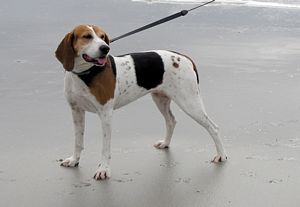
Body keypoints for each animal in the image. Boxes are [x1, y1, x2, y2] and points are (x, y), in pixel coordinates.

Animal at [55, 23, 226, 180]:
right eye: (87, 36)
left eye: (103, 37)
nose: (105, 48)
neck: (85, 74)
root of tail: (184, 58)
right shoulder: (76, 111)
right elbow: (78, 141)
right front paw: (74, 160)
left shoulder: (106, 115)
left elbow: (105, 148)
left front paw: (103, 169)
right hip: (160, 99)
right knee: (171, 121)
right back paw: (165, 143)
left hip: (190, 102)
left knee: (214, 128)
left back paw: (221, 156)